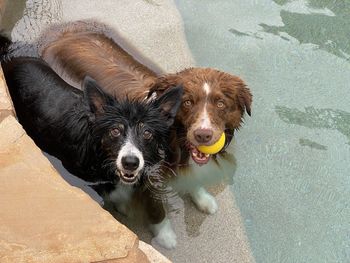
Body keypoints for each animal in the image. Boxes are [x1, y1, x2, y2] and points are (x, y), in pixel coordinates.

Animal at [2, 56, 183, 249]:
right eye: (115, 131)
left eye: (147, 133)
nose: (130, 163)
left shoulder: (146, 171)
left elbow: (156, 205)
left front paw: (165, 235)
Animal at [37, 21, 252, 250]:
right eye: (187, 103)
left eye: (220, 104)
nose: (203, 134)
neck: (174, 144)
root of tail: (63, 34)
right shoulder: (147, 178)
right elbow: (157, 209)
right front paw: (165, 235)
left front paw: (202, 199)